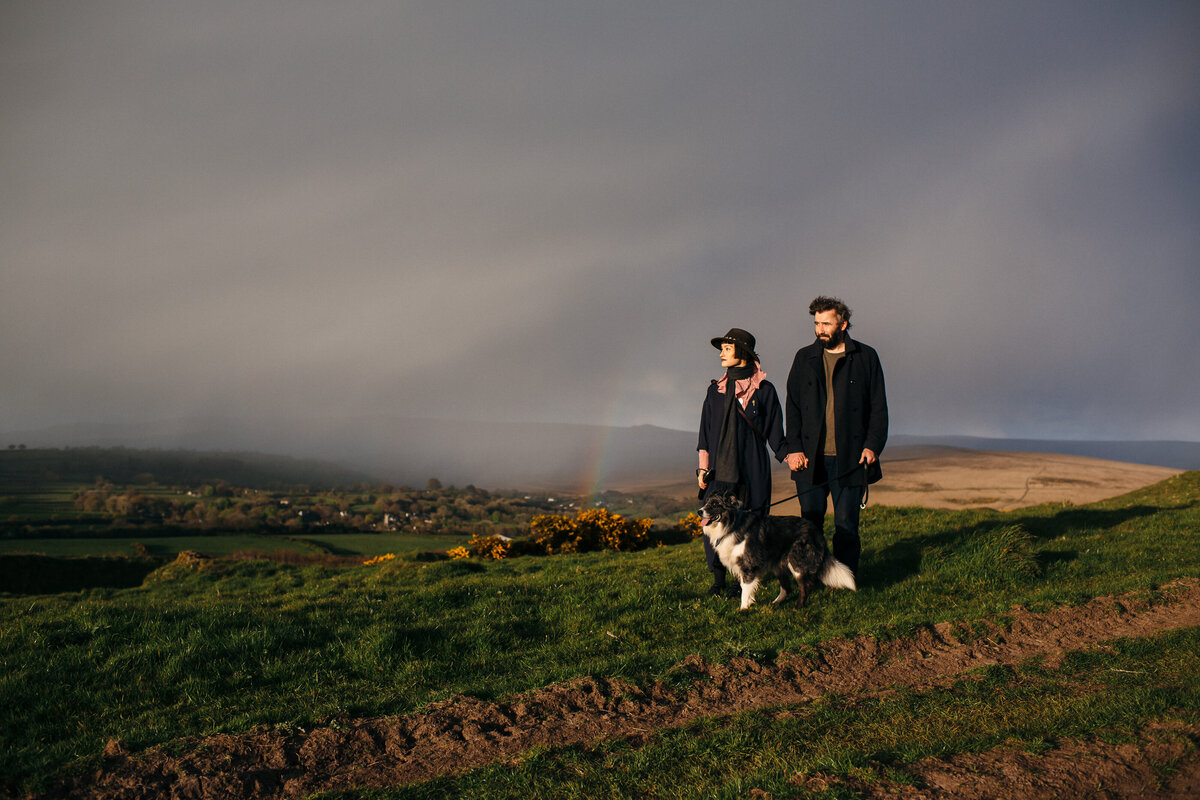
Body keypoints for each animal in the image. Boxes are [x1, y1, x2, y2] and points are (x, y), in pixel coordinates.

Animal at [700, 491, 859, 609]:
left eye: (715, 504)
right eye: (706, 503)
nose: (699, 511)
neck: (732, 524)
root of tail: (815, 530)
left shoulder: (749, 565)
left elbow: (745, 589)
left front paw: (743, 609)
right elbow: (745, 588)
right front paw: (748, 605)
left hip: (796, 562)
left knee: (804, 586)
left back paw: (798, 607)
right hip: (778, 565)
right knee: (787, 588)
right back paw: (775, 603)